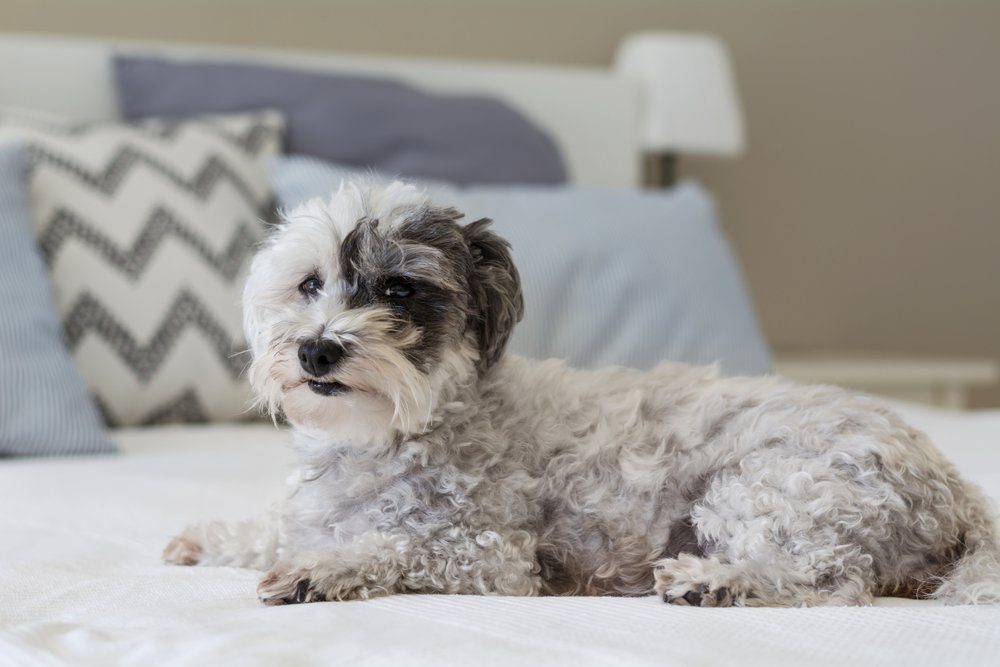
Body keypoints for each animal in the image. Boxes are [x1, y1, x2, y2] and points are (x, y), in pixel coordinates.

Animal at [164, 180, 1000, 608]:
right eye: (309, 284)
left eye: (399, 289)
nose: (315, 349)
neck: (399, 430)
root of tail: (956, 491)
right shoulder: (319, 509)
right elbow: (279, 527)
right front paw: (211, 537)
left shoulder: (492, 556)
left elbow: (390, 543)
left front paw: (322, 569)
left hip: (767, 488)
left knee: (830, 580)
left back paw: (716, 581)